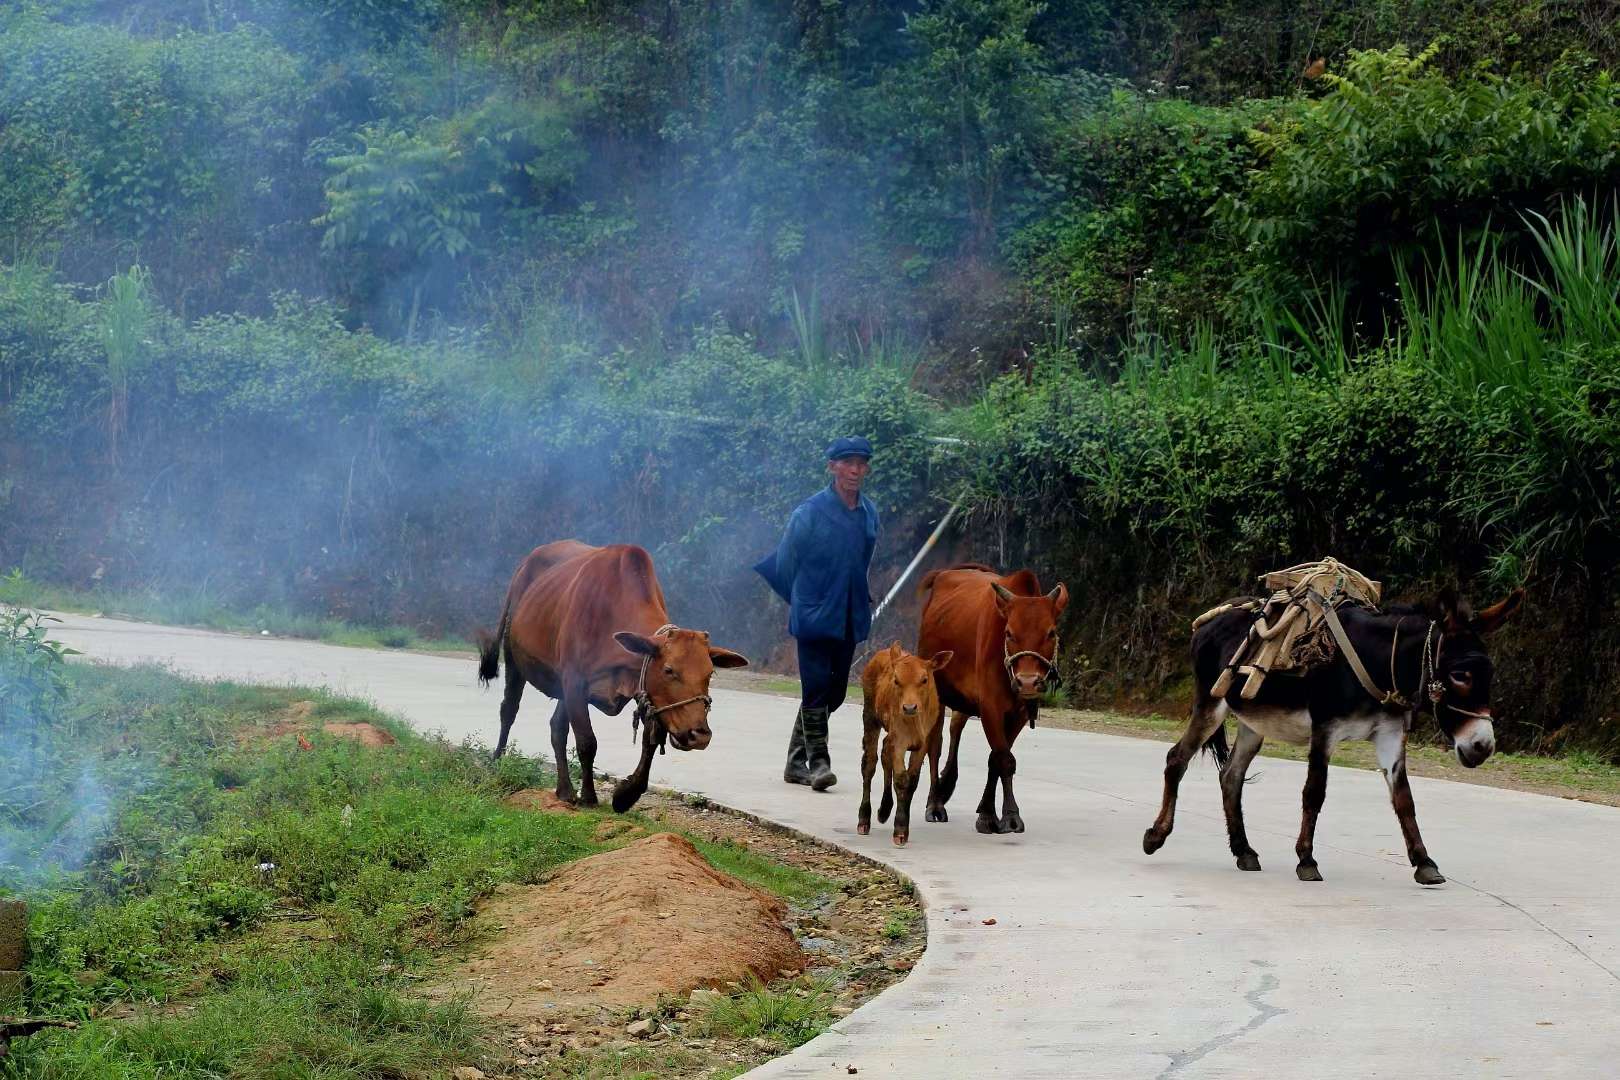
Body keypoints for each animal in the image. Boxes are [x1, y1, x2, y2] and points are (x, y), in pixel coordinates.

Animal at [476, 544, 748, 816]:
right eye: (669, 670)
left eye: (710, 673)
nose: (699, 735)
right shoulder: (575, 683)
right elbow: (587, 742)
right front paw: (589, 796)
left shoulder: (645, 691)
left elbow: (649, 744)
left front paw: (626, 795)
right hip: (514, 658)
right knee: (509, 710)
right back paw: (498, 761)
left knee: (557, 727)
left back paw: (564, 790)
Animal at [861, 641, 946, 841]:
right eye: (896, 680)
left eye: (924, 679)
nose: (909, 707)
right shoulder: (899, 740)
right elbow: (901, 778)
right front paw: (900, 829)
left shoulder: (923, 742)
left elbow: (912, 780)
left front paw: (902, 823)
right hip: (870, 716)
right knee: (869, 764)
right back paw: (864, 819)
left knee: (885, 752)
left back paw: (884, 809)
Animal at [920, 566, 1069, 835]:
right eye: (1008, 633)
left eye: (1051, 632)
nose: (1028, 682)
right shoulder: (990, 707)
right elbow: (1004, 759)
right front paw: (1008, 816)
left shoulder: (1020, 713)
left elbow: (996, 759)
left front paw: (987, 812)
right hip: (935, 694)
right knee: (934, 745)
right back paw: (935, 803)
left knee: (956, 726)